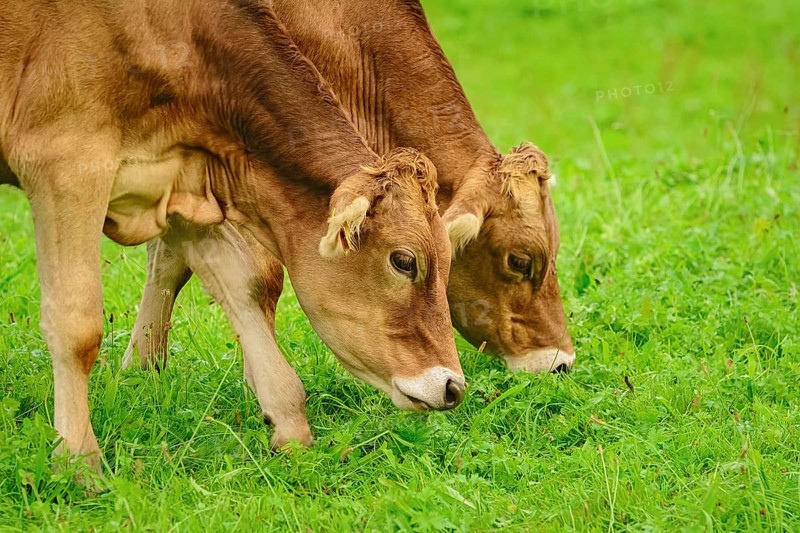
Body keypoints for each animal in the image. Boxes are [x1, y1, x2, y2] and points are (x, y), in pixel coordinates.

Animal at [0, 0, 464, 469]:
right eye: (404, 261)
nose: (453, 386)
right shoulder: (65, 164)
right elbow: (77, 326)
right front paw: (78, 460)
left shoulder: (180, 180)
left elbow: (242, 285)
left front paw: (288, 422)